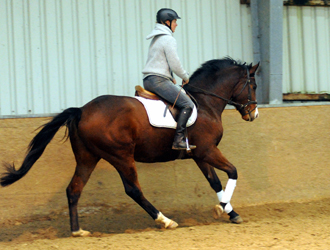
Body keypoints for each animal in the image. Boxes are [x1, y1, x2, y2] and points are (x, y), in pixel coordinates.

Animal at [0, 57, 260, 236]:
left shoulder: (199, 155)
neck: (205, 103)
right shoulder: (207, 151)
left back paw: (77, 231)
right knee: (133, 189)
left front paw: (231, 212)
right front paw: (222, 209)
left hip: (87, 157)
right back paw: (165, 220)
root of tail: (82, 110)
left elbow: (215, 182)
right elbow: (233, 171)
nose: (253, 114)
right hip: (121, 156)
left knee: (74, 189)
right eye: (254, 86)